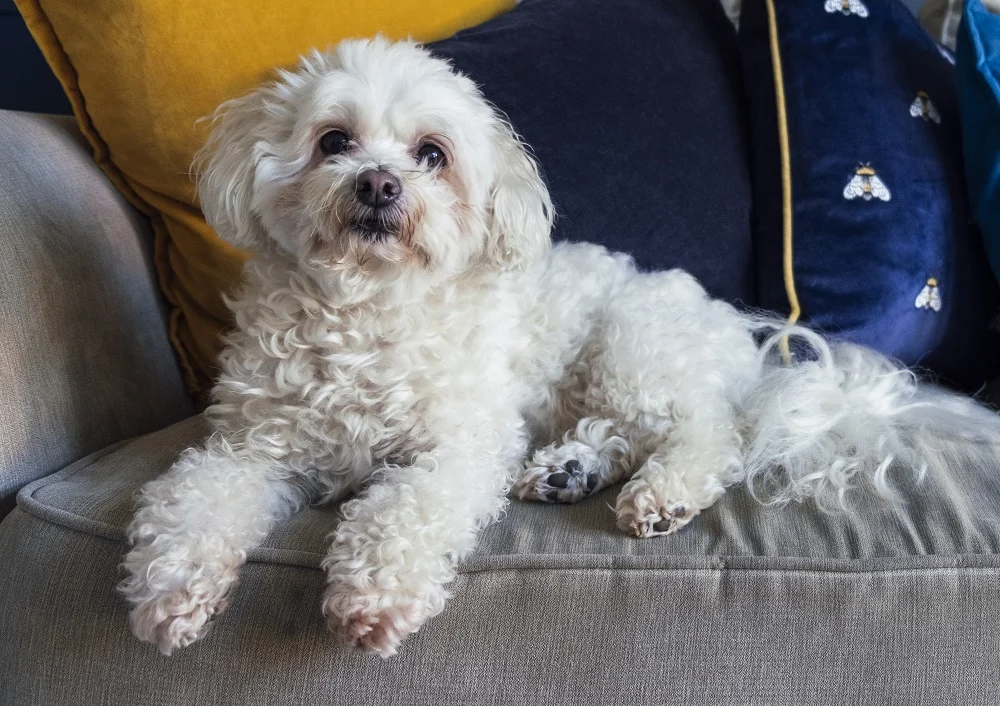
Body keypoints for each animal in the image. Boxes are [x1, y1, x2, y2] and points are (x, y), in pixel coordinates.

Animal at [121, 37, 1000, 656]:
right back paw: (567, 470)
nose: (378, 184)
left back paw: (658, 492)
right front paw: (174, 591)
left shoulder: (459, 447)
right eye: (334, 141)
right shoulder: (249, 448)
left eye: (432, 154)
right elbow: (194, 500)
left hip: (633, 344)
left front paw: (373, 601)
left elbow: (403, 512)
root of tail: (739, 343)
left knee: (709, 433)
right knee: (625, 432)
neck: (364, 312)